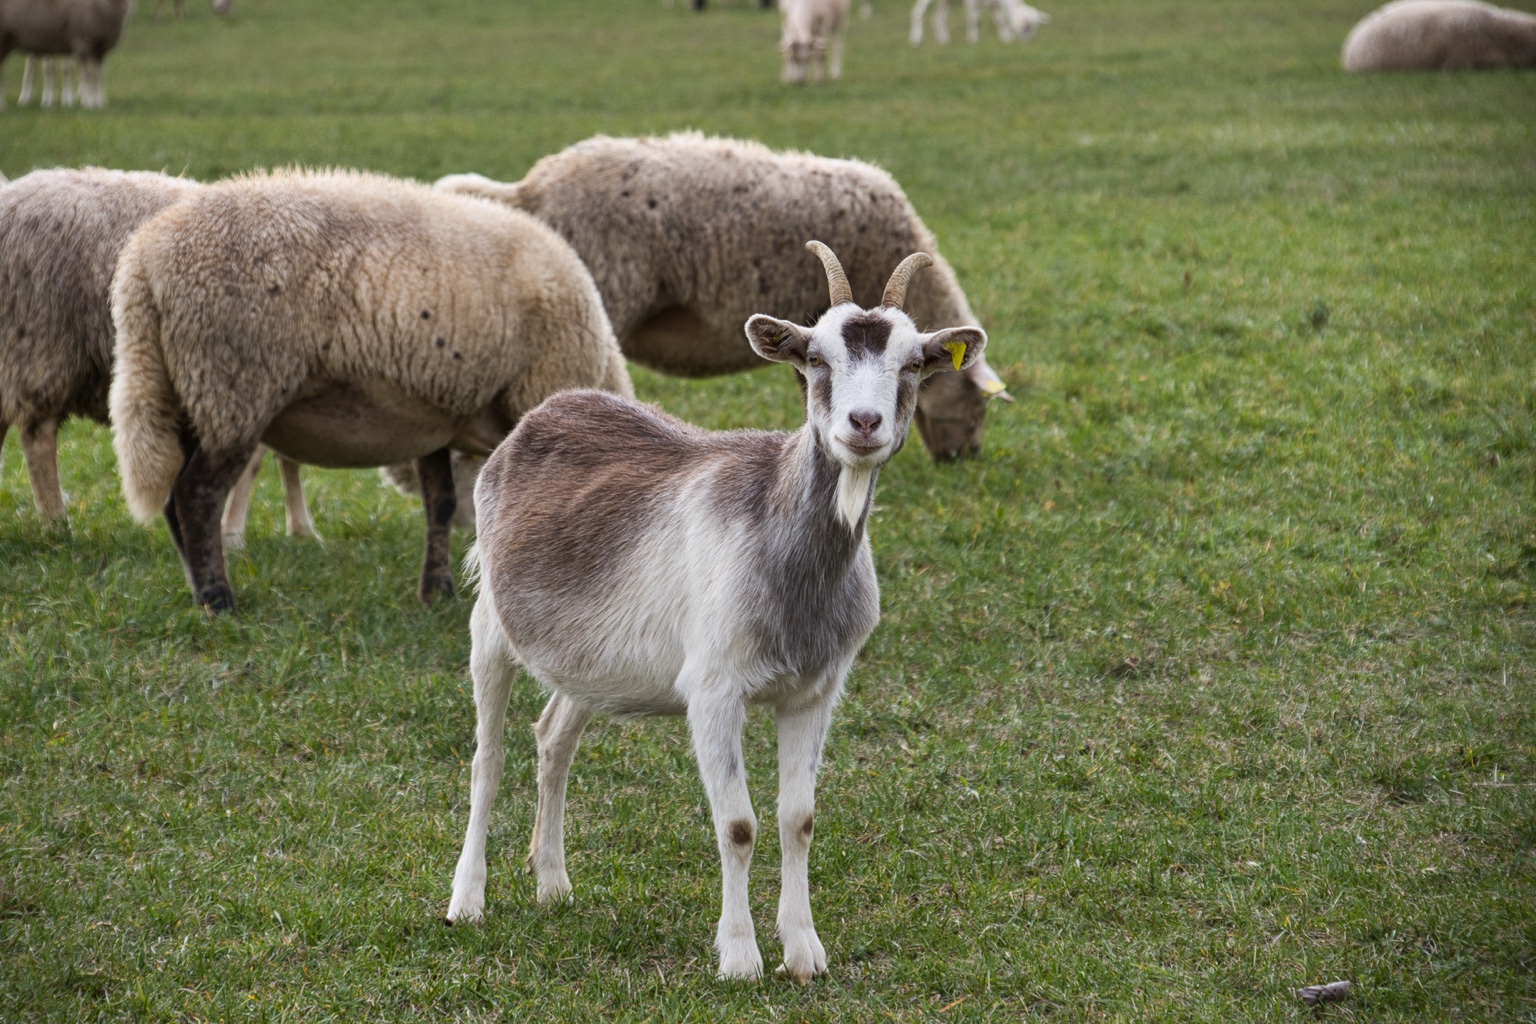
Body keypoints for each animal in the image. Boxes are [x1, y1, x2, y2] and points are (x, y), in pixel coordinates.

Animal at [0, 0, 130, 110]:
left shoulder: (100, 50)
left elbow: (99, 76)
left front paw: (99, 103)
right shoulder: (82, 44)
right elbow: (86, 75)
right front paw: (88, 103)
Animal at [109, 168, 632, 613]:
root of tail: (143, 263)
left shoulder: (436, 415)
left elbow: (439, 503)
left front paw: (436, 590)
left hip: (186, 391)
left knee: (173, 500)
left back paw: (197, 589)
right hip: (235, 386)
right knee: (197, 494)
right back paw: (219, 598)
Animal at [445, 241, 987, 980]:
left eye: (911, 365)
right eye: (816, 358)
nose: (864, 425)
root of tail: (542, 414)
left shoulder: (815, 690)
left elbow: (798, 819)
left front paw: (804, 952)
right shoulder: (713, 688)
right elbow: (738, 825)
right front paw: (739, 957)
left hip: (591, 658)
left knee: (554, 737)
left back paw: (553, 884)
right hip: (491, 625)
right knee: (488, 758)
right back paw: (466, 900)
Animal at [910, 0, 1048, 45]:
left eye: (1034, 27)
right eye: (1027, 26)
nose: (1030, 41)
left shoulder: (995, 6)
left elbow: (1001, 21)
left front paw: (1006, 38)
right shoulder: (971, 3)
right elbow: (975, 21)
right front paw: (973, 40)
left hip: (945, 1)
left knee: (938, 18)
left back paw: (944, 40)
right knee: (918, 12)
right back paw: (916, 39)